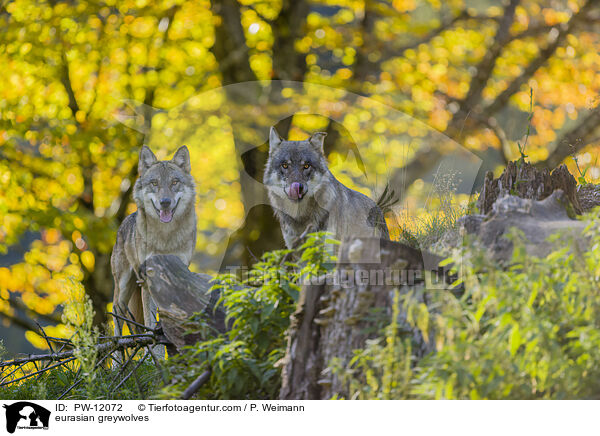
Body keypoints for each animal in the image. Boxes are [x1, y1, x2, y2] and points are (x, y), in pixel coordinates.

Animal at [110, 146, 197, 348]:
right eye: (154, 183)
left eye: (174, 182)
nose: (165, 202)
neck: (165, 237)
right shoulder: (148, 279)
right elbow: (150, 321)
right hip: (123, 290)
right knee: (117, 318)